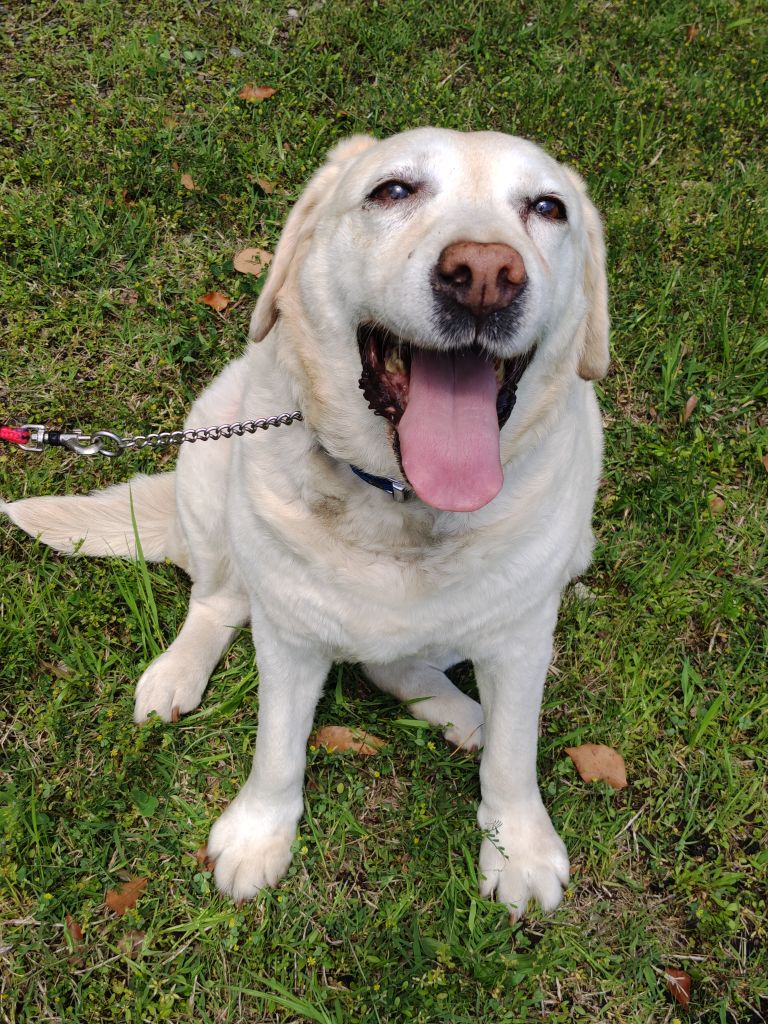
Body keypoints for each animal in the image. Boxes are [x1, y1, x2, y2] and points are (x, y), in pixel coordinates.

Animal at [2, 128, 609, 918]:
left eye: (547, 208)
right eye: (393, 190)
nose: (484, 274)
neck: (401, 501)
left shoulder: (522, 637)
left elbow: (513, 757)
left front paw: (521, 850)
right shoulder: (288, 634)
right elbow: (277, 751)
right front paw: (258, 836)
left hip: (569, 556)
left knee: (394, 663)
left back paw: (457, 712)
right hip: (210, 455)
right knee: (218, 601)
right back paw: (178, 672)